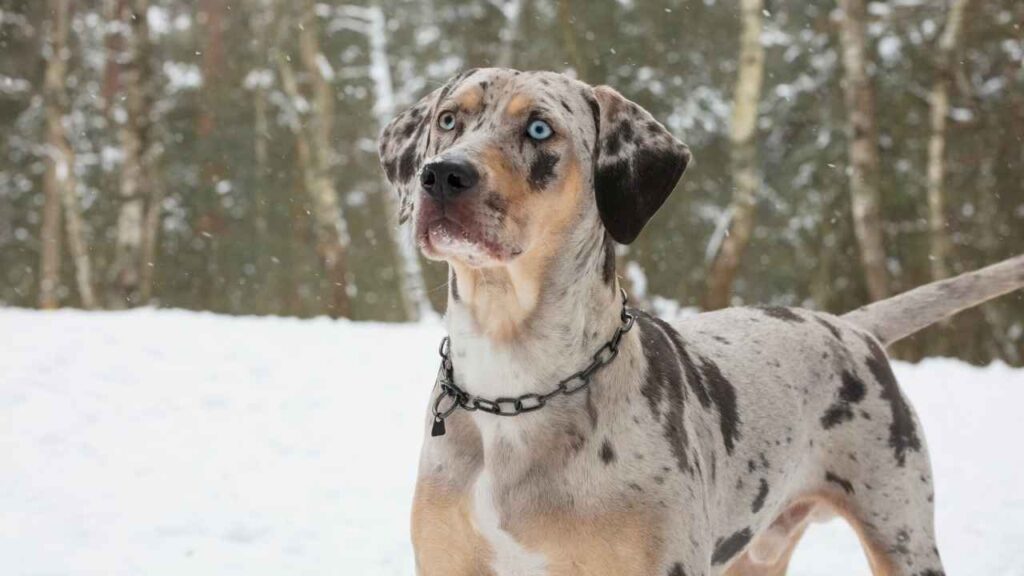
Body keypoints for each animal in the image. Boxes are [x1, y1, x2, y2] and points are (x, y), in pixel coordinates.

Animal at [378, 68, 1024, 573]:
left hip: (900, 529)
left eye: (539, 128)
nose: (442, 174)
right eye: (448, 120)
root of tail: (851, 327)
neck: (514, 384)